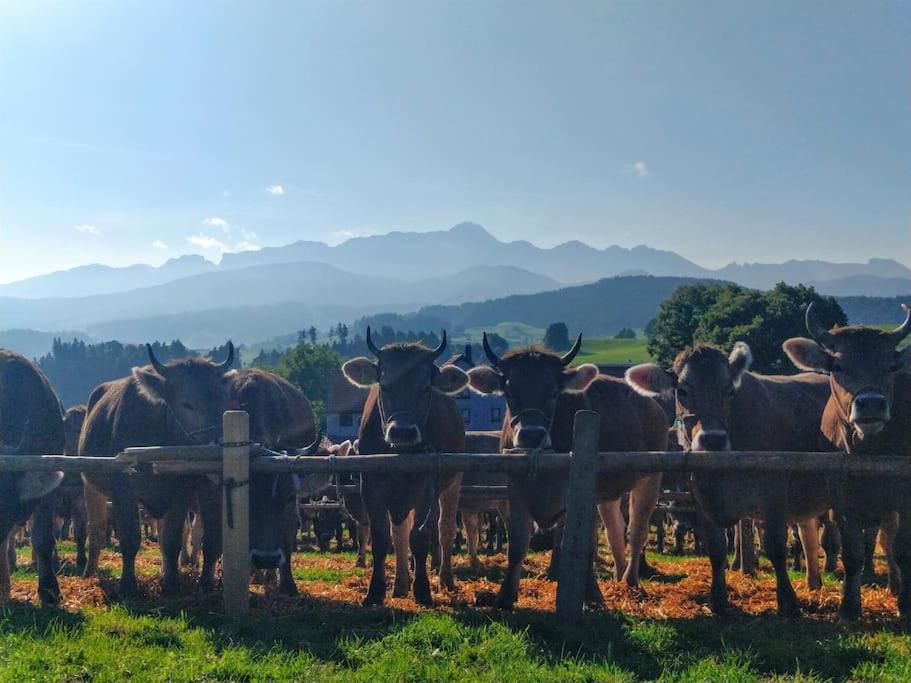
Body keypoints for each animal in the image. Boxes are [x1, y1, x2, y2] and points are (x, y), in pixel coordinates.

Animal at [342, 328, 470, 608]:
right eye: (384, 385)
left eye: (426, 387)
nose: (403, 431)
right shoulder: (371, 486)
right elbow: (382, 538)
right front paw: (375, 591)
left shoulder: (426, 486)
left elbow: (419, 538)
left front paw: (422, 590)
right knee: (399, 534)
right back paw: (401, 584)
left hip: (452, 482)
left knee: (444, 529)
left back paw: (445, 580)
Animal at [466, 334, 668, 612]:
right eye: (509, 392)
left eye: (553, 393)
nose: (531, 435)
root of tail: (652, 404)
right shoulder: (516, 490)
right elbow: (517, 544)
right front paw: (505, 596)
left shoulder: (582, 495)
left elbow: (583, 545)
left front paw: (592, 595)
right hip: (608, 494)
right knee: (615, 531)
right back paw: (617, 577)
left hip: (650, 478)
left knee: (636, 531)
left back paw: (630, 581)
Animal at [628, 344, 832, 616]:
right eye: (682, 390)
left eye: (729, 390)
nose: (712, 439)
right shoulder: (703, 501)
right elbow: (716, 549)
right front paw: (719, 600)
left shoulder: (774, 496)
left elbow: (776, 549)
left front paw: (788, 602)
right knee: (808, 535)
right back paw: (814, 584)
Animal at [780, 304, 911, 624]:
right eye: (838, 366)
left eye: (890, 366)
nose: (871, 404)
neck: (871, 454)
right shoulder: (843, 500)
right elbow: (852, 553)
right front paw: (849, 608)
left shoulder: (904, 499)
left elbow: (902, 551)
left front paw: (905, 604)